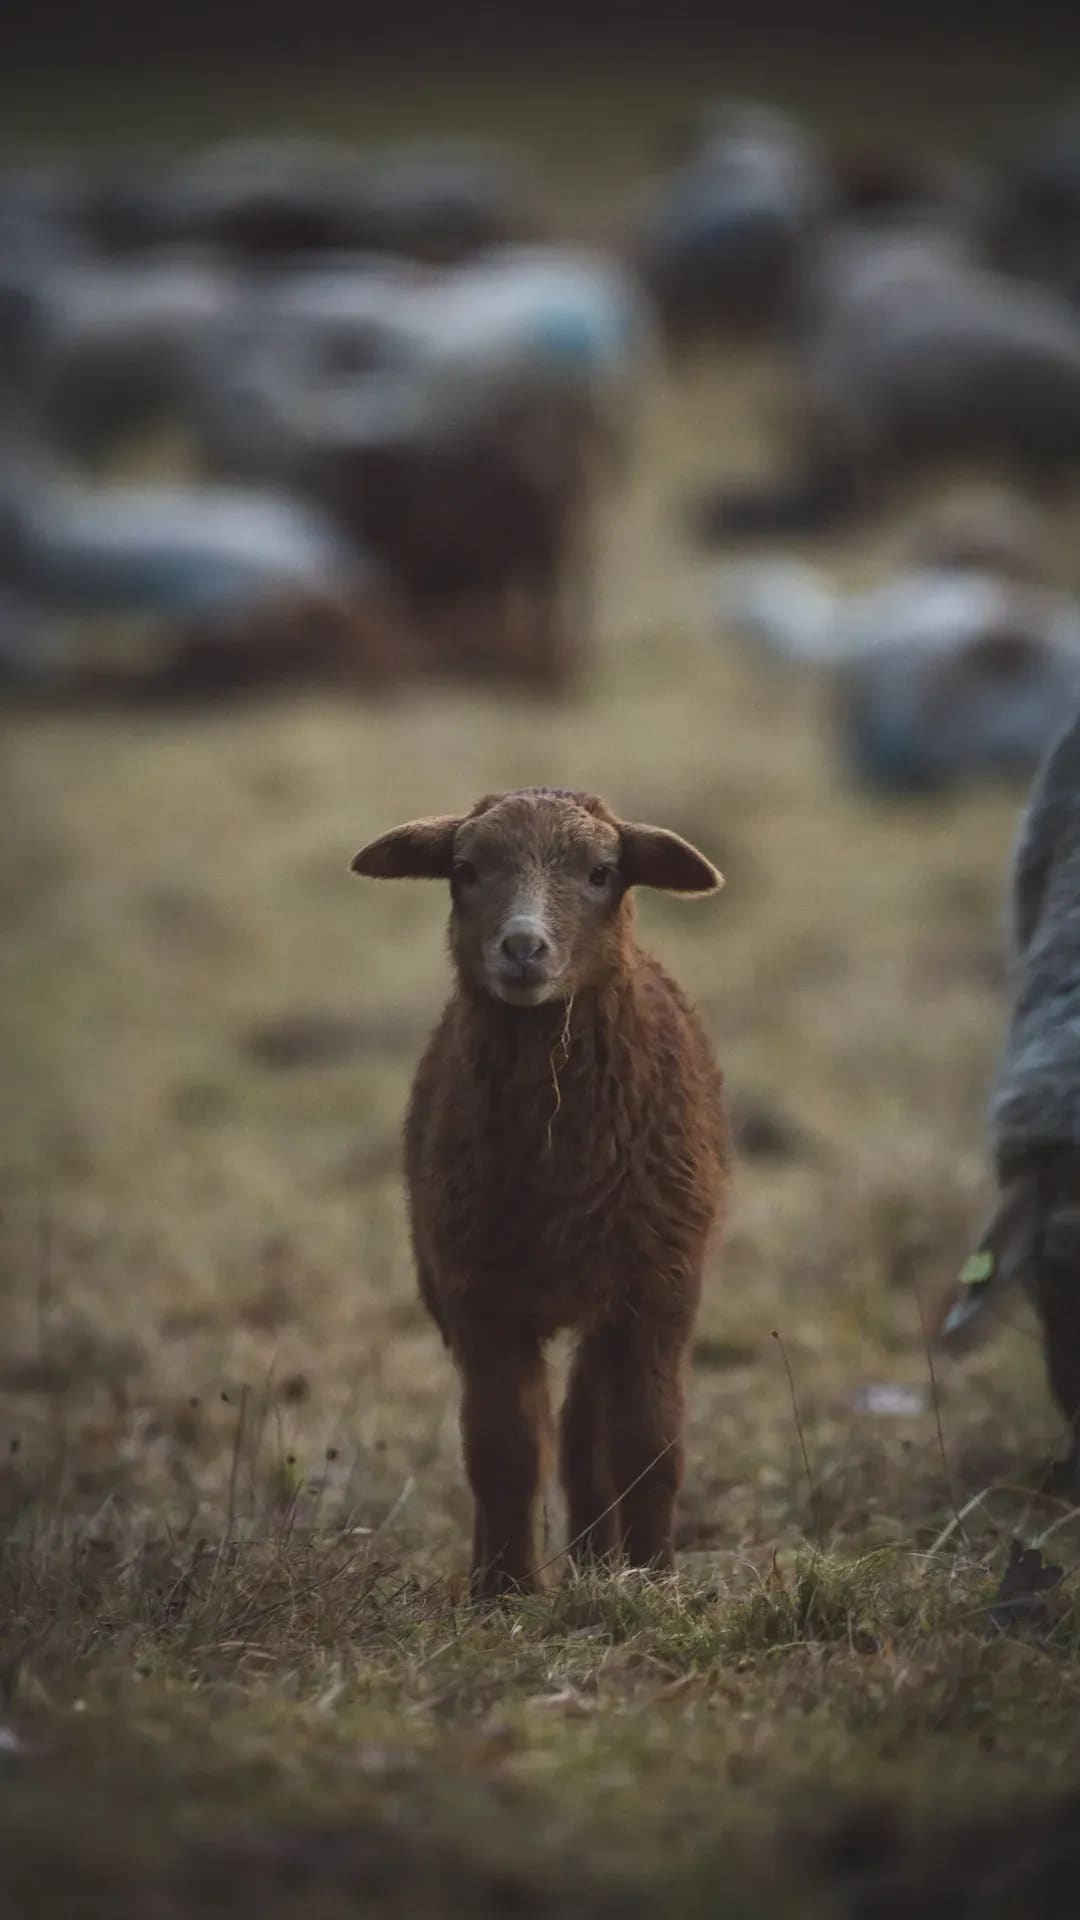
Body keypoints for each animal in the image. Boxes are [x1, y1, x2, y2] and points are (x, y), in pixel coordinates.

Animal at [351, 787, 727, 1597]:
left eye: (601, 872)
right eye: (464, 870)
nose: (523, 948)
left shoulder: (660, 1287)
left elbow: (648, 1444)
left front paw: (655, 1580)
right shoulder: (478, 1296)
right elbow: (505, 1449)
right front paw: (504, 1590)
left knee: (591, 1425)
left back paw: (602, 1560)